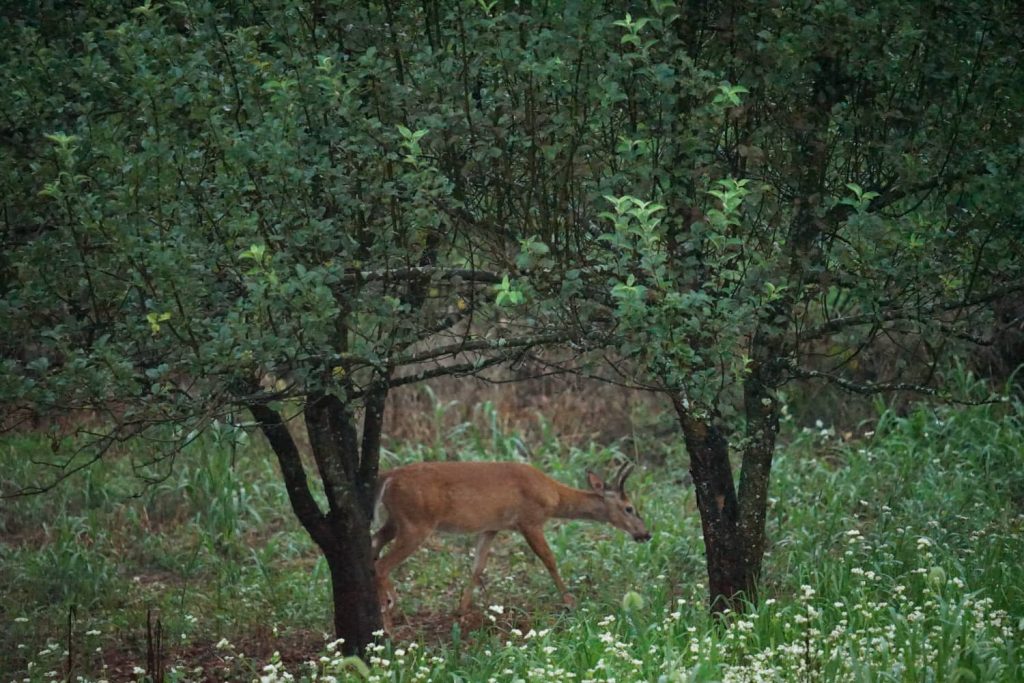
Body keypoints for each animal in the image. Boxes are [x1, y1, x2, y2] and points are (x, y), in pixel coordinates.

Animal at [372, 458, 651, 630]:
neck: (554, 496)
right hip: (416, 523)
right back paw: (389, 615)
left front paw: (461, 611)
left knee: (374, 544)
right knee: (381, 565)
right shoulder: (529, 520)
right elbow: (550, 560)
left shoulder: (492, 526)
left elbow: (477, 567)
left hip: (396, 519)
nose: (646, 534)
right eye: (629, 508)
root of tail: (389, 477)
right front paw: (570, 602)